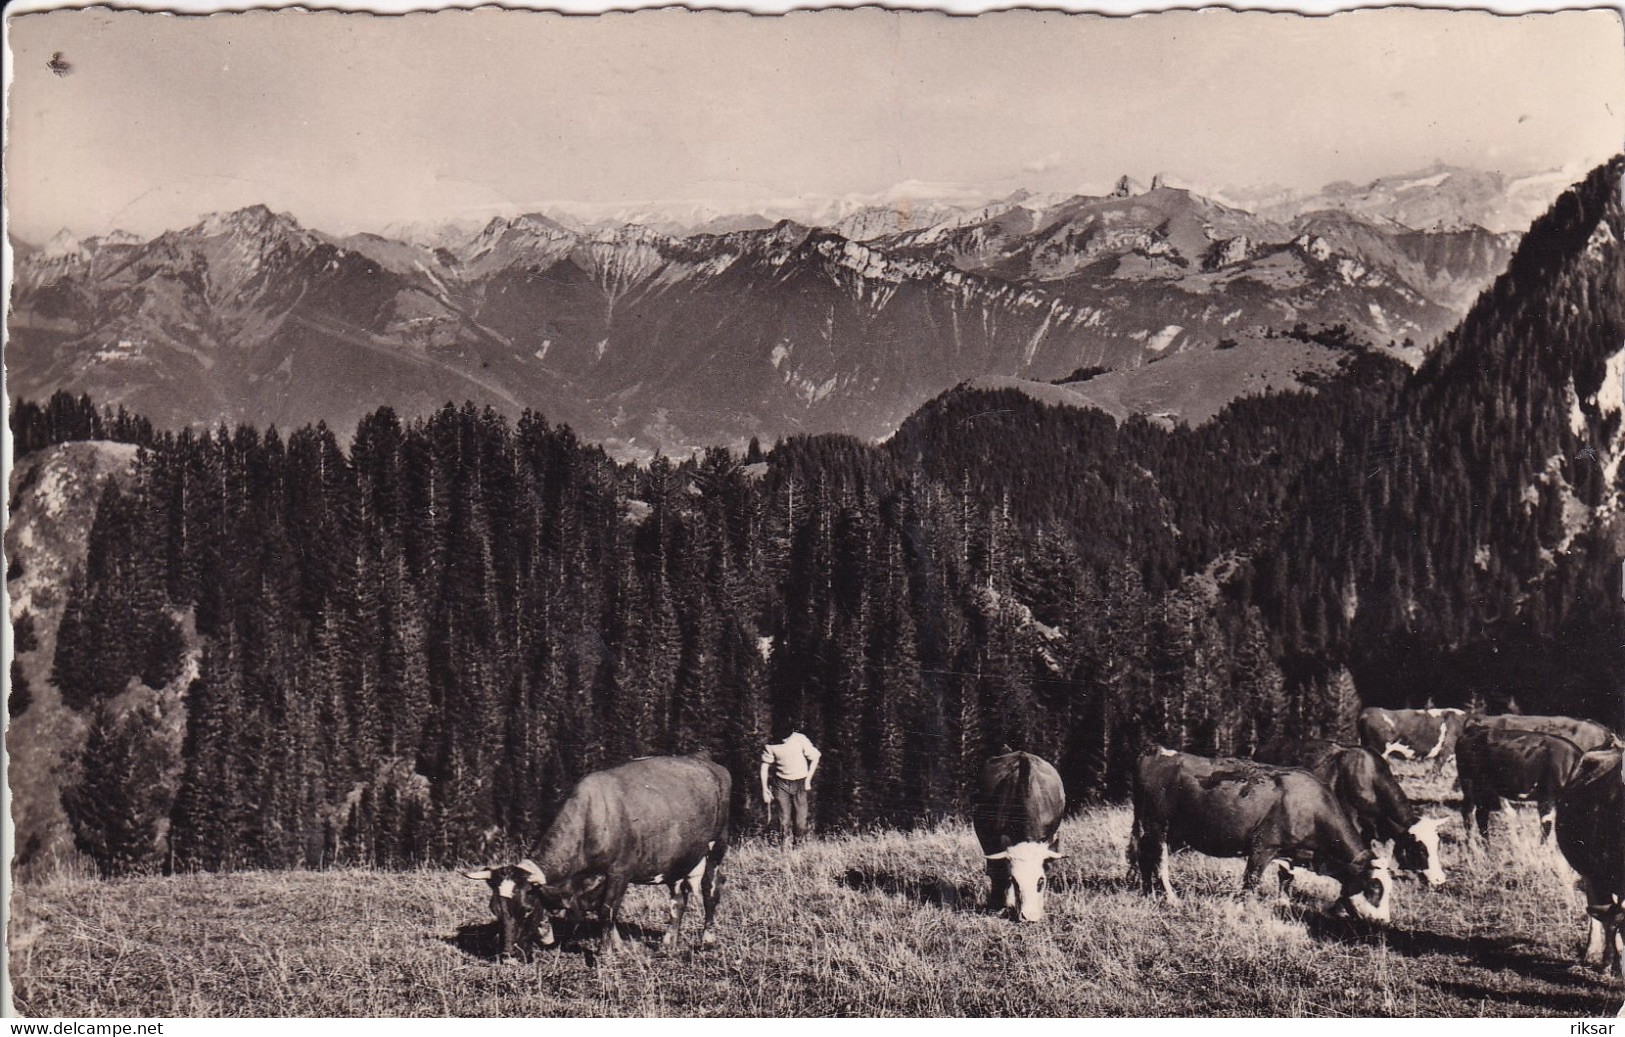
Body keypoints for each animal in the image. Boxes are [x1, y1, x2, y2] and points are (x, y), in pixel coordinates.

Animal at [465, 754, 730, 958]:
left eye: (527, 909)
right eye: (494, 909)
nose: (508, 955)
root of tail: (707, 761)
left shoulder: (619, 872)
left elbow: (606, 911)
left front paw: (606, 953)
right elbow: (605, 912)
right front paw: (617, 945)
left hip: (717, 845)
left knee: (710, 890)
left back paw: (707, 938)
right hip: (677, 858)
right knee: (678, 898)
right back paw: (668, 943)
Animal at [1129, 747, 1393, 923]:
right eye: (1375, 888)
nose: (1383, 921)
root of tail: (1156, 751)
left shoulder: (1291, 854)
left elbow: (1286, 878)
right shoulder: (1263, 846)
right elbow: (1251, 881)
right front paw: (1238, 910)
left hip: (1155, 827)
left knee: (1144, 855)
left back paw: (1146, 891)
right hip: (1158, 824)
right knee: (1158, 860)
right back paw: (1170, 897)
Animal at [1455, 723, 1584, 843]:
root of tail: (1473, 729)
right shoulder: (1547, 798)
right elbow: (1546, 828)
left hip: (1486, 789)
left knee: (1481, 814)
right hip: (1468, 782)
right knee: (1469, 812)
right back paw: (1472, 846)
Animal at [1554, 747, 1624, 977]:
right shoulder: (1598, 876)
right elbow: (1611, 924)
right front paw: (1611, 964)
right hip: (1586, 870)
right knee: (1595, 911)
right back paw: (1593, 953)